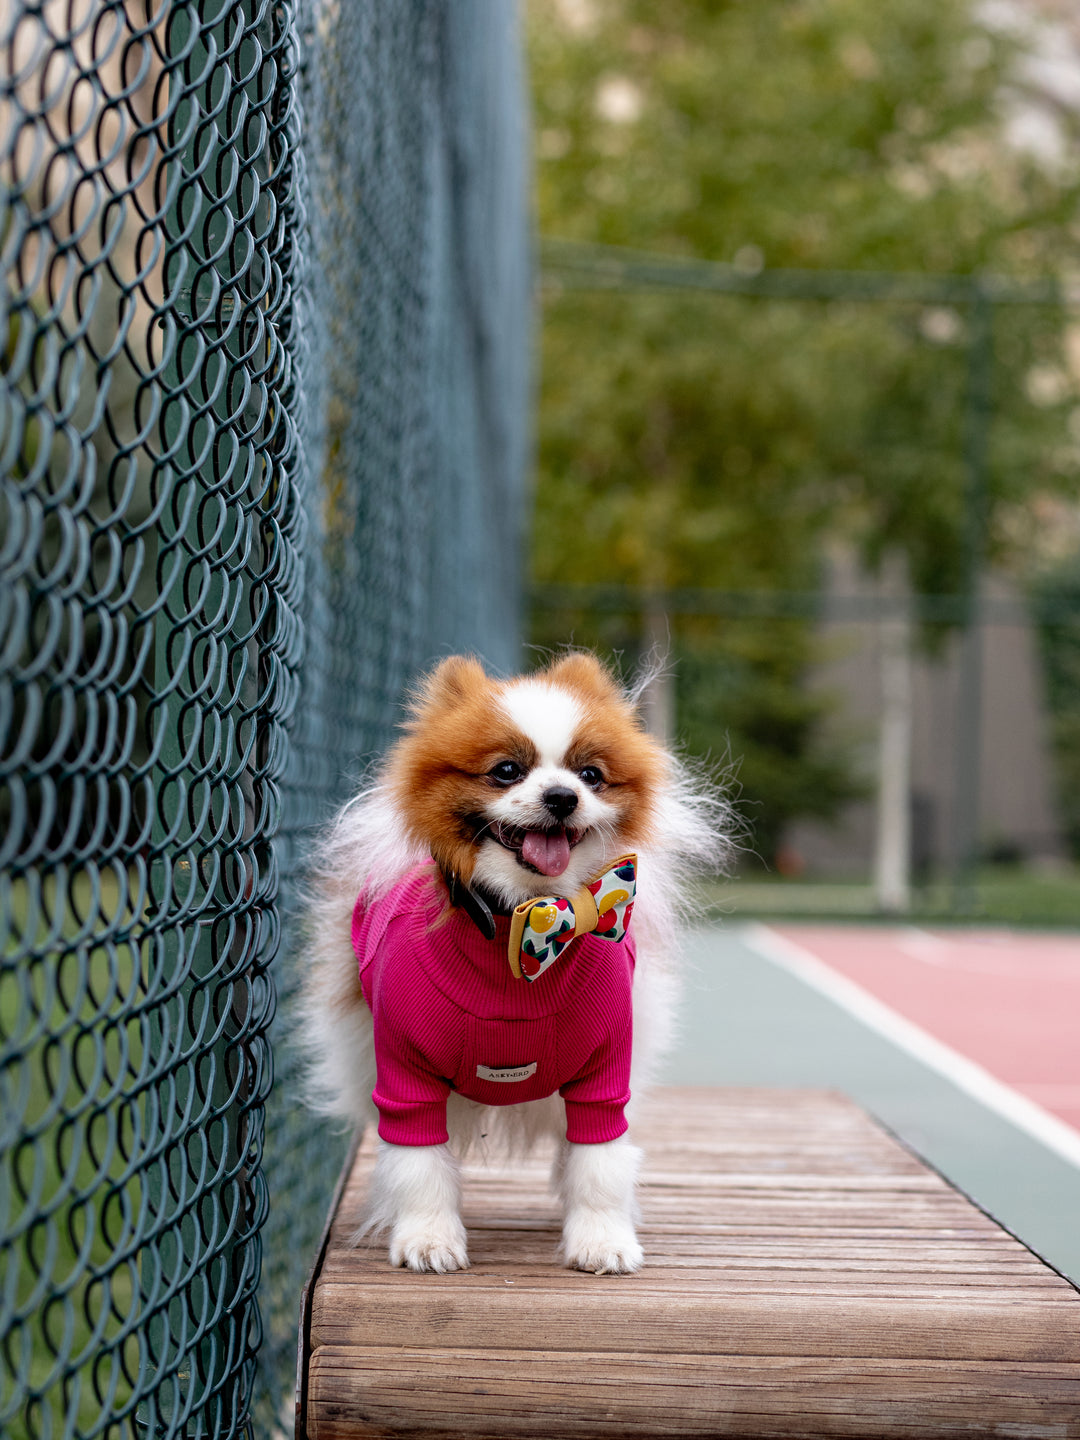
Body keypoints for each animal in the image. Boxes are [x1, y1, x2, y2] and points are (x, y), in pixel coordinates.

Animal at [300, 653, 731, 1272]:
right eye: (506, 770)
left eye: (590, 775)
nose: (561, 797)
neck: (521, 921)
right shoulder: (404, 1073)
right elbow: (417, 1164)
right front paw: (428, 1237)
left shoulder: (604, 1073)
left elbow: (599, 1161)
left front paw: (601, 1238)